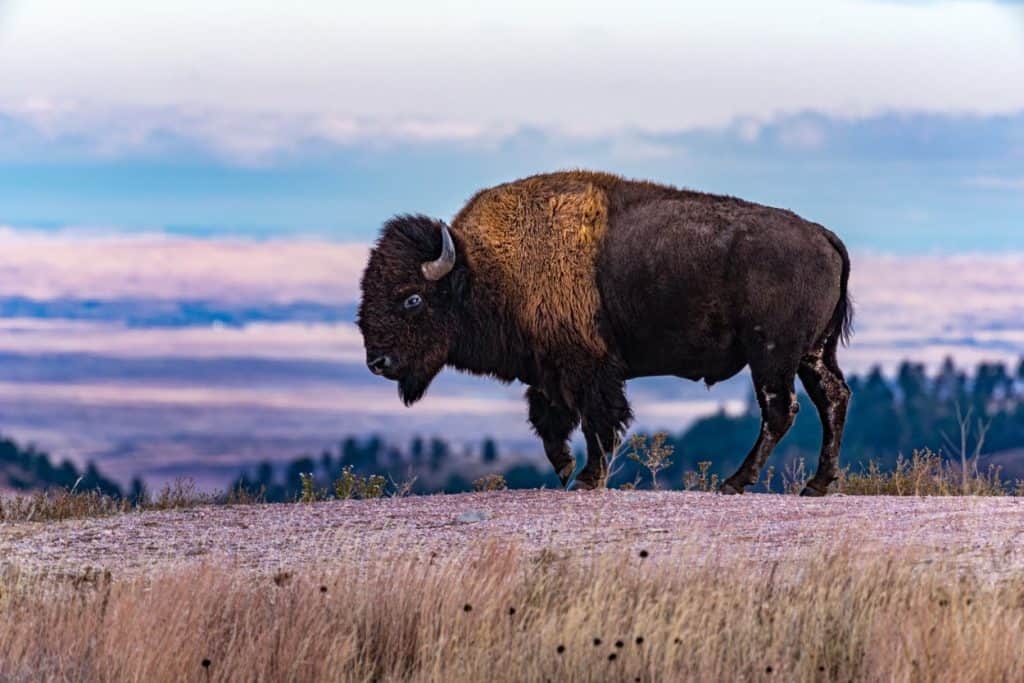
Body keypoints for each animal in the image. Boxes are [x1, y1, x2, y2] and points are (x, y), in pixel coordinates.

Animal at [358, 171, 851, 495]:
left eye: (412, 299)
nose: (377, 362)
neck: (486, 268)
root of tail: (823, 235)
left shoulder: (587, 368)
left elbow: (597, 421)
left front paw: (585, 478)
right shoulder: (548, 370)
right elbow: (550, 422)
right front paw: (564, 470)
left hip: (771, 355)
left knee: (780, 410)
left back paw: (735, 483)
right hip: (812, 354)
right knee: (833, 398)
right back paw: (817, 484)